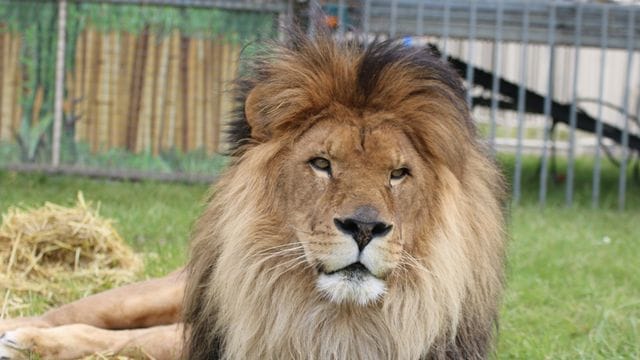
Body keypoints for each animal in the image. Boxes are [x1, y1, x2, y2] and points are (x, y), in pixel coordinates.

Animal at [1, 31, 510, 360]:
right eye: (322, 164)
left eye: (399, 174)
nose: (364, 227)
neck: (334, 323)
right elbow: (129, 338)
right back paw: (20, 334)